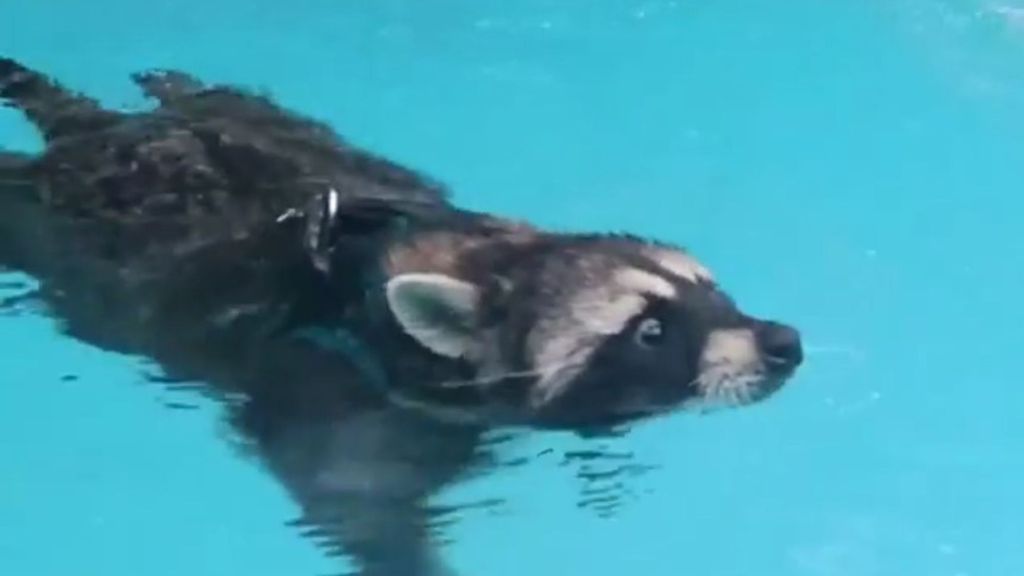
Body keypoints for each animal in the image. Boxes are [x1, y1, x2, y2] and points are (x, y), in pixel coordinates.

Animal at [0, 57, 798, 573]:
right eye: (650, 331)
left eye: (713, 291)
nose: (783, 343)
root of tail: (95, 140)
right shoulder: (332, 388)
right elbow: (352, 501)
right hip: (58, 238)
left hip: (251, 116)